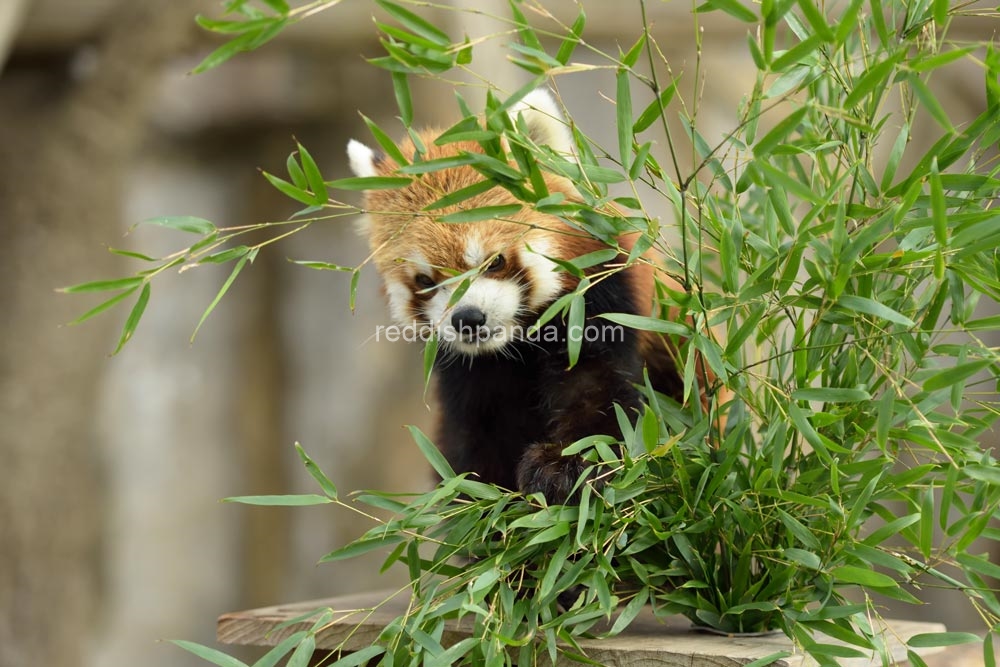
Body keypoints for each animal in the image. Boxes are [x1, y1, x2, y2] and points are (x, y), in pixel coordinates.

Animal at [350, 90, 720, 506]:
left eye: (494, 261)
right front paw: (480, 499)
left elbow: (599, 391)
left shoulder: (602, 301)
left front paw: (565, 466)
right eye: (426, 281)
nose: (468, 319)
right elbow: (473, 437)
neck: (516, 344)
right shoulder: (466, 374)